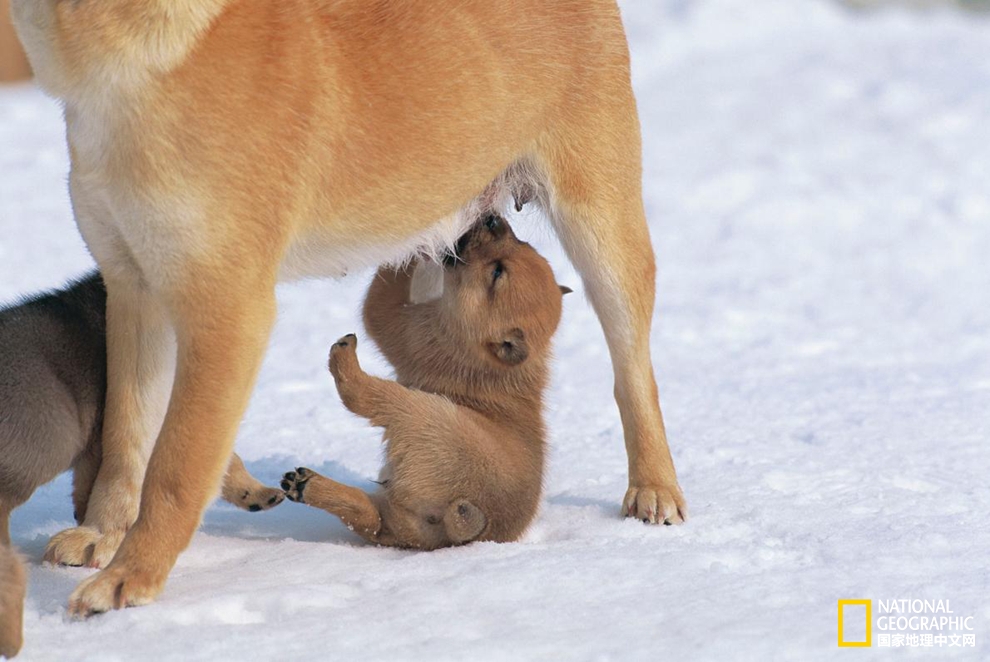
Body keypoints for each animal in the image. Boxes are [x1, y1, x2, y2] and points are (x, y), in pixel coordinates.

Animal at [282, 218, 568, 548]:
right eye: (524, 243)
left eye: (498, 272)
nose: (492, 219)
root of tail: (473, 523)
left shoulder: (405, 327)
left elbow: (382, 297)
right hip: (400, 522)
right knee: (370, 519)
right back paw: (306, 484)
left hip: (422, 411)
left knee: (362, 396)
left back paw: (344, 357)